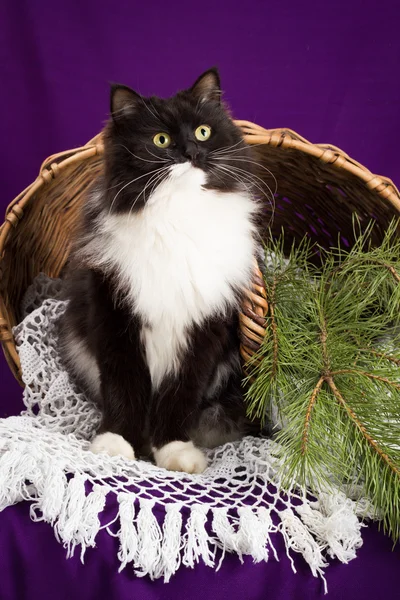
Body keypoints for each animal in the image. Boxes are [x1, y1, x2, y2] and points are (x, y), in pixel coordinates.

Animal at [58, 69, 260, 474]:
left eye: (203, 132)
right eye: (161, 140)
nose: (192, 152)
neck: (177, 217)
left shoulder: (204, 330)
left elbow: (180, 395)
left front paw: (174, 452)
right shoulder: (116, 316)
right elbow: (124, 387)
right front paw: (117, 444)